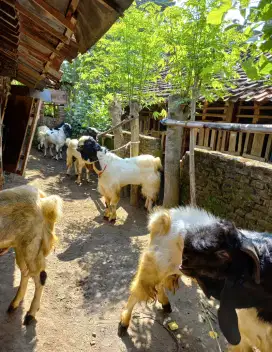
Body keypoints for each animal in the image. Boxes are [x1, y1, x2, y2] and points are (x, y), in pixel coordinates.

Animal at [0, 186, 62, 326]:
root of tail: (43, 201)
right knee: (26, 273)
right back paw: (14, 304)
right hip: (19, 246)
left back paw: (30, 315)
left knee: (40, 277)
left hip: (32, 246)